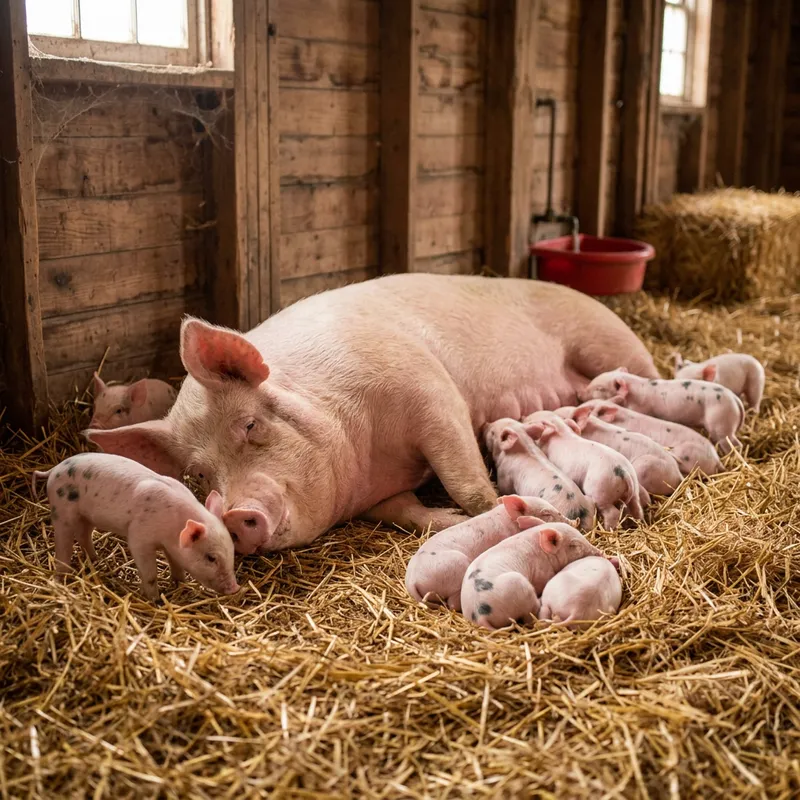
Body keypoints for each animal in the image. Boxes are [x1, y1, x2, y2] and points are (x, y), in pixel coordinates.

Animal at [32, 453, 239, 601]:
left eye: (232, 551)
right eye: (211, 558)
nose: (235, 588)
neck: (171, 528)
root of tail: (53, 470)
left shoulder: (171, 545)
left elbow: (176, 564)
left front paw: (180, 582)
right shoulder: (139, 536)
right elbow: (149, 572)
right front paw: (156, 600)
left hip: (86, 517)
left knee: (84, 535)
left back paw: (96, 560)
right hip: (61, 511)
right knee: (63, 545)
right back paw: (60, 579)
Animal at [83, 273, 658, 551]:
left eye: (250, 424)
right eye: (199, 474)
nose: (234, 516)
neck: (366, 467)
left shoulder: (432, 394)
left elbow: (466, 481)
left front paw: (516, 509)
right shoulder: (381, 497)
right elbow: (408, 514)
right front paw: (447, 520)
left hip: (610, 340)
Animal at [460, 522, 607, 630]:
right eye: (574, 545)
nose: (601, 552)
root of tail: (479, 614)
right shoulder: (541, 573)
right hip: (519, 587)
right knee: (530, 615)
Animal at [580, 368, 745, 454]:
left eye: (600, 388)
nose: (580, 394)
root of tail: (735, 400)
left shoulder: (641, 408)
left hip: (721, 424)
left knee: (734, 444)